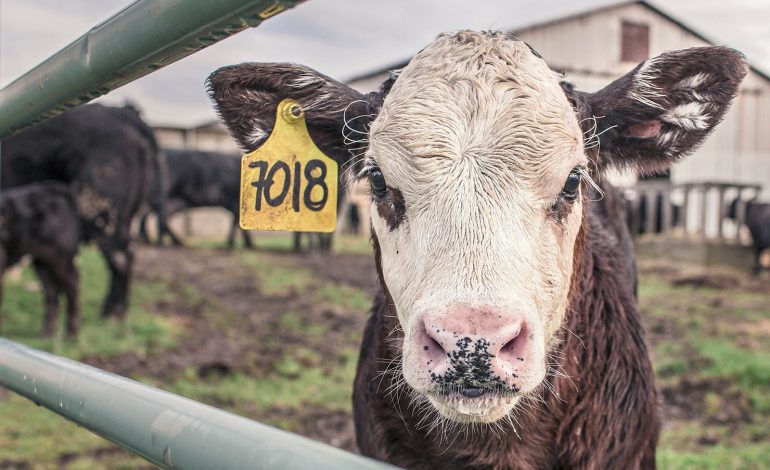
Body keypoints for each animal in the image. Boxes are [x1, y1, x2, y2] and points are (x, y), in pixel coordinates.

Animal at [0, 182, 79, 336]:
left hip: (61, 258)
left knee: (72, 284)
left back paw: (71, 334)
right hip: (41, 261)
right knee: (51, 291)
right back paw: (47, 333)